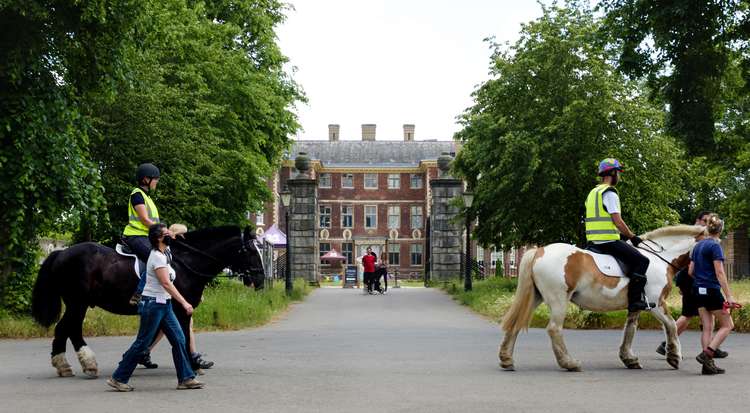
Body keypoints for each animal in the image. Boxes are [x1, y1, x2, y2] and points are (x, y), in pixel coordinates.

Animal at [30, 225, 266, 376]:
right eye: (251, 251)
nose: (260, 280)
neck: (187, 262)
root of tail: (61, 253)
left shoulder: (171, 309)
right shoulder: (181, 308)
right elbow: (181, 335)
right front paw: (192, 364)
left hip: (79, 303)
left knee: (67, 329)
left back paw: (67, 365)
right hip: (77, 302)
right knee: (68, 329)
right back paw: (81, 364)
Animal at [500, 224, 704, 372]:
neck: (659, 259)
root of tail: (540, 251)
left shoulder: (636, 305)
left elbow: (630, 330)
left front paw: (629, 359)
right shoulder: (656, 304)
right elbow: (671, 325)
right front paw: (674, 357)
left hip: (536, 297)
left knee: (516, 323)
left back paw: (507, 359)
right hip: (559, 300)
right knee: (554, 329)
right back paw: (569, 363)